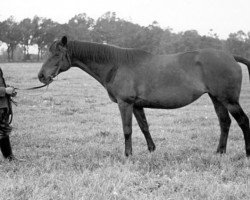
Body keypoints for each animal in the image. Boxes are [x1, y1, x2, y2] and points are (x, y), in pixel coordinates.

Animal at [37, 36, 250, 158]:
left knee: (243, 121)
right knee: (224, 123)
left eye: (56, 55)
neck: (116, 65)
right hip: (217, 99)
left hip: (229, 100)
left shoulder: (125, 104)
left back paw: (247, 153)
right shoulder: (137, 105)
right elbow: (144, 127)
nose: (41, 76)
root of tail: (231, 57)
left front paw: (128, 155)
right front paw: (151, 150)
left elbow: (127, 130)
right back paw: (220, 152)